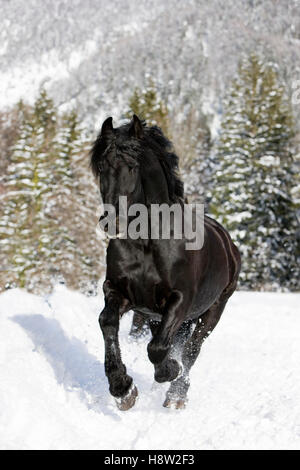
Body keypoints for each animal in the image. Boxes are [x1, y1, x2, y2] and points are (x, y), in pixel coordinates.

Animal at [90, 115, 240, 410]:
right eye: (101, 166)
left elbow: (159, 349)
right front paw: (123, 388)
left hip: (213, 310)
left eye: (133, 166)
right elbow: (108, 322)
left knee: (192, 350)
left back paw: (176, 395)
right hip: (156, 315)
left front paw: (170, 370)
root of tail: (228, 244)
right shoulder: (120, 292)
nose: (112, 222)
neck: (147, 242)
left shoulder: (179, 300)